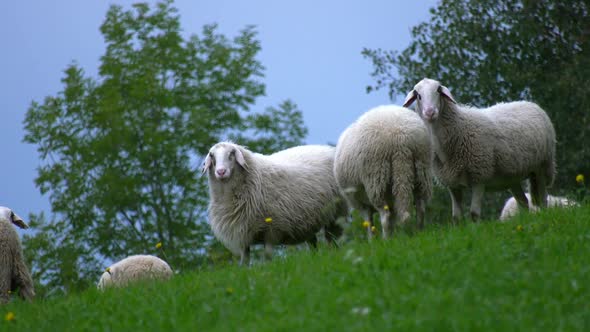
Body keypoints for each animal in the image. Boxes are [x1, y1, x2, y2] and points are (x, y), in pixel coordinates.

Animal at [206, 141, 350, 266]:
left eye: (231, 154)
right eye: (212, 155)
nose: (221, 172)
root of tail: (327, 148)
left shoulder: (272, 230)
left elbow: (268, 258)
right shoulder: (243, 235)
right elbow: (245, 261)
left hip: (337, 213)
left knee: (333, 240)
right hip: (309, 221)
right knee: (313, 243)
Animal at [332, 105, 434, 237]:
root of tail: (400, 141)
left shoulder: (361, 204)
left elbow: (369, 223)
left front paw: (372, 240)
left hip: (376, 178)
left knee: (385, 216)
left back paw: (386, 239)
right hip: (421, 169)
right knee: (420, 207)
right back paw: (419, 232)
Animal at [404, 78, 556, 222]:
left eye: (438, 90)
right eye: (418, 95)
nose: (430, 112)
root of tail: (529, 103)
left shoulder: (479, 177)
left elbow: (474, 214)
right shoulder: (452, 184)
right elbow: (456, 216)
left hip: (542, 166)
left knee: (543, 199)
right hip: (512, 176)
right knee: (523, 202)